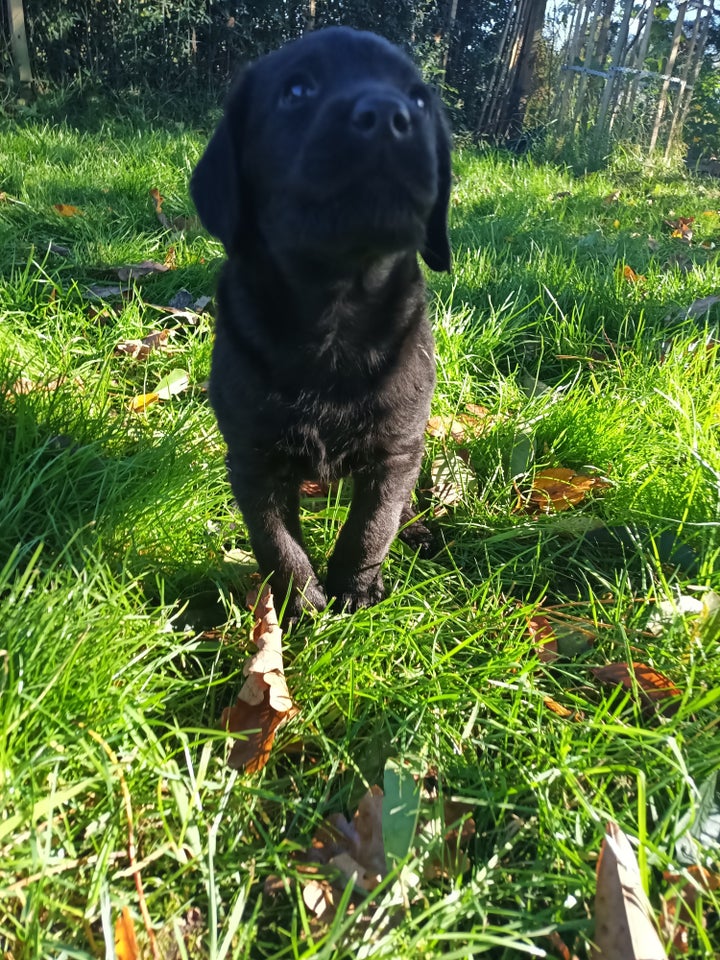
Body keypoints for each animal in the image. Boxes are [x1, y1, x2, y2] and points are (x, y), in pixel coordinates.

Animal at [191, 26, 450, 624]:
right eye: (297, 90)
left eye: (419, 99)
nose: (388, 113)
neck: (336, 314)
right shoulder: (252, 458)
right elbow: (276, 541)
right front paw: (302, 604)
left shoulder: (396, 448)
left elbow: (372, 525)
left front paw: (354, 590)